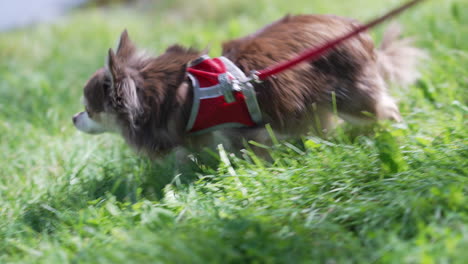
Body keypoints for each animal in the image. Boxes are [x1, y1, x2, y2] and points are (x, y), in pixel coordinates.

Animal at [72, 13, 424, 157]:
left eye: (89, 109)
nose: (73, 118)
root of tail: (351, 27)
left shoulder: (241, 130)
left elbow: (251, 151)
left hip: (351, 96)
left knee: (385, 109)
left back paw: (392, 132)